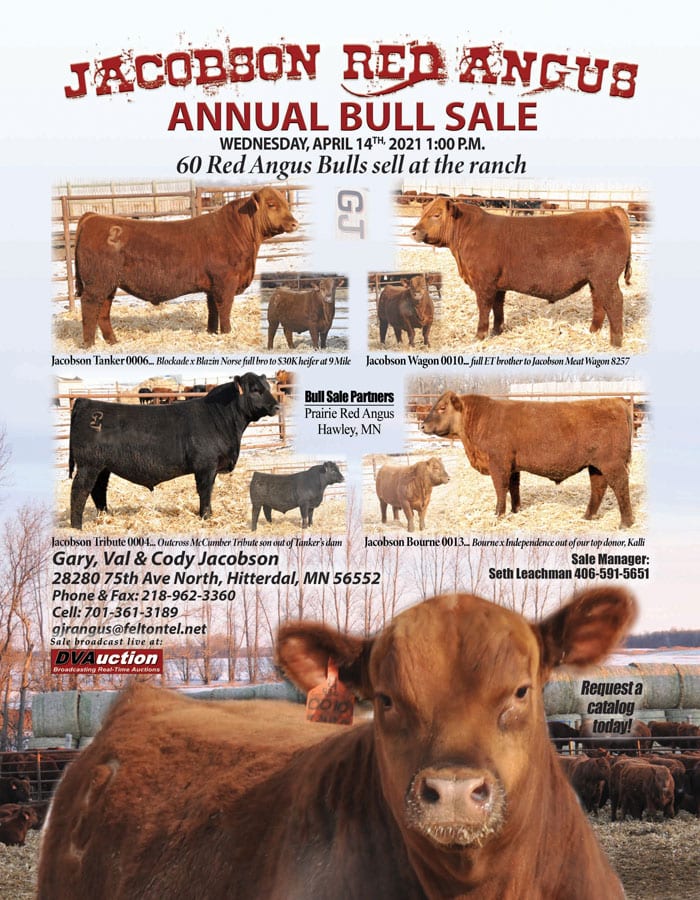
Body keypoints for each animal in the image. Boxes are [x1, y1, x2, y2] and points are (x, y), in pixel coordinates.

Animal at [68, 373, 278, 529]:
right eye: (256, 390)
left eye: (268, 387)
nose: (276, 406)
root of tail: (85, 402)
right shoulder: (206, 466)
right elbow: (205, 491)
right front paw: (206, 517)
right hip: (89, 465)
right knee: (79, 491)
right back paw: (77, 526)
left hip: (103, 467)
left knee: (98, 490)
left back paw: (105, 516)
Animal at [74, 186, 299, 347]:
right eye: (272, 204)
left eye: (285, 202)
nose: (294, 223)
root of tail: (94, 217)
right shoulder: (225, 282)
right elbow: (225, 309)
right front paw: (226, 333)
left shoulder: (212, 287)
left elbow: (212, 311)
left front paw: (211, 332)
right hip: (96, 284)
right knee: (89, 307)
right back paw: (89, 344)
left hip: (109, 284)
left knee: (103, 311)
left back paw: (112, 341)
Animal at [411, 198, 631, 346]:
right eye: (423, 213)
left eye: (436, 214)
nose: (413, 231)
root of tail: (609, 210)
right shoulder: (497, 285)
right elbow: (498, 308)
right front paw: (496, 331)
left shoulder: (484, 283)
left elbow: (484, 308)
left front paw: (480, 335)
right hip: (596, 280)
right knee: (599, 302)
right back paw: (593, 331)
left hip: (606, 278)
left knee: (614, 301)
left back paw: (615, 341)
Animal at [421, 392, 635, 527]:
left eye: (442, 408)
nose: (422, 426)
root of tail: (617, 401)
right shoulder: (513, 466)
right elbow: (513, 487)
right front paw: (515, 510)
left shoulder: (498, 464)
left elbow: (501, 489)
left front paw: (498, 515)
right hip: (596, 465)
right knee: (598, 487)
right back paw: (587, 516)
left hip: (612, 463)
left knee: (620, 486)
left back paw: (625, 523)